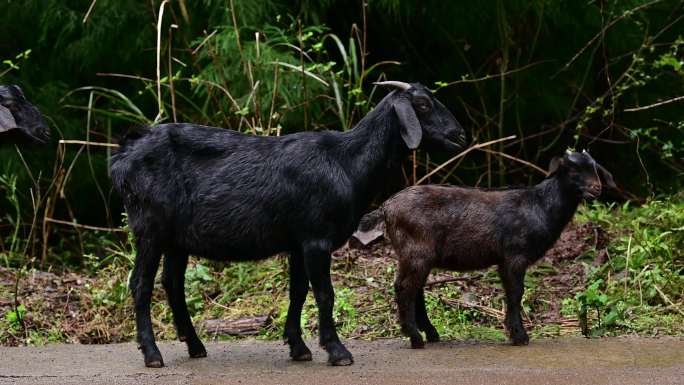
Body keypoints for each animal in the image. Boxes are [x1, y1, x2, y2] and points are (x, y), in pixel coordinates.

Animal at [109, 80, 468, 366]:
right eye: (423, 104)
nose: (459, 135)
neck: (346, 162)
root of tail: (125, 152)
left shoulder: (299, 241)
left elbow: (297, 292)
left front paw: (299, 348)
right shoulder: (316, 239)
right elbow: (324, 293)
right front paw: (337, 351)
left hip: (177, 238)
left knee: (172, 283)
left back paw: (195, 346)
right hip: (150, 228)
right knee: (140, 284)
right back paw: (152, 354)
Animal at [356, 151, 616, 348]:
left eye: (595, 168)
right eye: (573, 170)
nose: (597, 188)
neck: (539, 206)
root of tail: (386, 208)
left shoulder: (504, 260)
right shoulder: (514, 256)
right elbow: (515, 293)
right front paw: (519, 337)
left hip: (417, 257)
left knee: (415, 289)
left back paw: (431, 334)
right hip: (416, 252)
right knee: (404, 288)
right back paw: (415, 338)